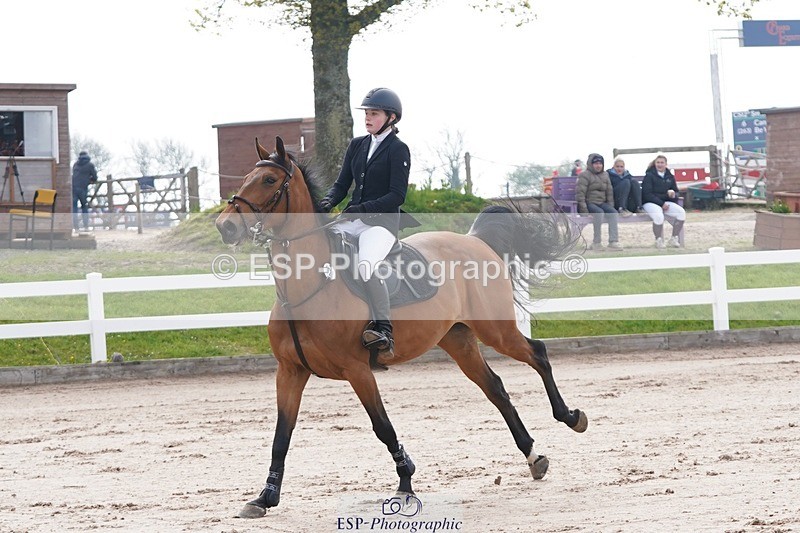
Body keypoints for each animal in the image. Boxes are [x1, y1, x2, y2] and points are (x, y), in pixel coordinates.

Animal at [215, 136, 588, 518]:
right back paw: (534, 456)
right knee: (496, 389)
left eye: (269, 181)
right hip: (458, 340)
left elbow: (382, 427)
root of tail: (475, 240)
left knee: (537, 354)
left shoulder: (357, 370)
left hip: (496, 330)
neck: (307, 287)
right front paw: (264, 497)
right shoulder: (290, 371)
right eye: (245, 178)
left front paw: (405, 482)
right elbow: (281, 437)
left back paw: (571, 417)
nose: (225, 226)